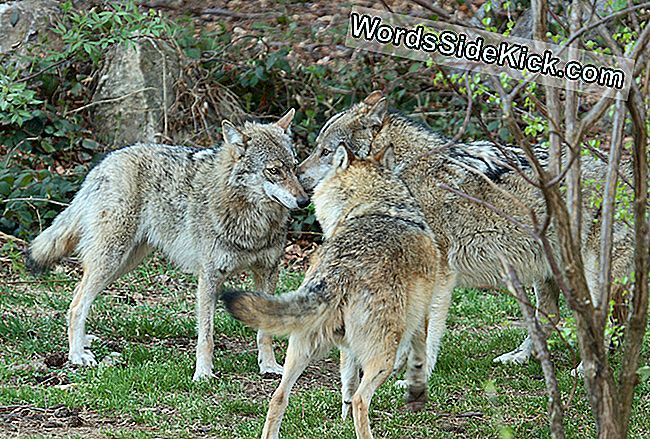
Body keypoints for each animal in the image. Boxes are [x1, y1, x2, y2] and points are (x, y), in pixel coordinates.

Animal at [25, 110, 308, 382]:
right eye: (274, 170)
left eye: (294, 167)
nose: (304, 201)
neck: (252, 220)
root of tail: (106, 161)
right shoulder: (209, 276)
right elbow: (206, 336)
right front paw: (202, 374)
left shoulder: (268, 272)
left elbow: (264, 333)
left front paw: (268, 366)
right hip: (111, 259)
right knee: (77, 305)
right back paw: (76, 356)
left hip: (122, 264)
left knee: (78, 295)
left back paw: (84, 343)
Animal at [221, 147, 446, 439]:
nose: (305, 198)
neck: (377, 207)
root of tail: (340, 272)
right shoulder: (421, 318)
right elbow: (417, 355)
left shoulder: (346, 348)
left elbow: (346, 385)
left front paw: (342, 418)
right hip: (379, 357)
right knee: (362, 400)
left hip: (300, 350)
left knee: (278, 397)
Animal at [298, 91, 632, 376]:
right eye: (317, 149)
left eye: (325, 151)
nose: (297, 175)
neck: (402, 176)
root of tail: (629, 175)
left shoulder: (440, 273)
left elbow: (427, 332)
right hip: (545, 272)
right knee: (550, 318)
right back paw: (520, 357)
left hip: (591, 276)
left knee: (603, 322)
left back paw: (587, 369)